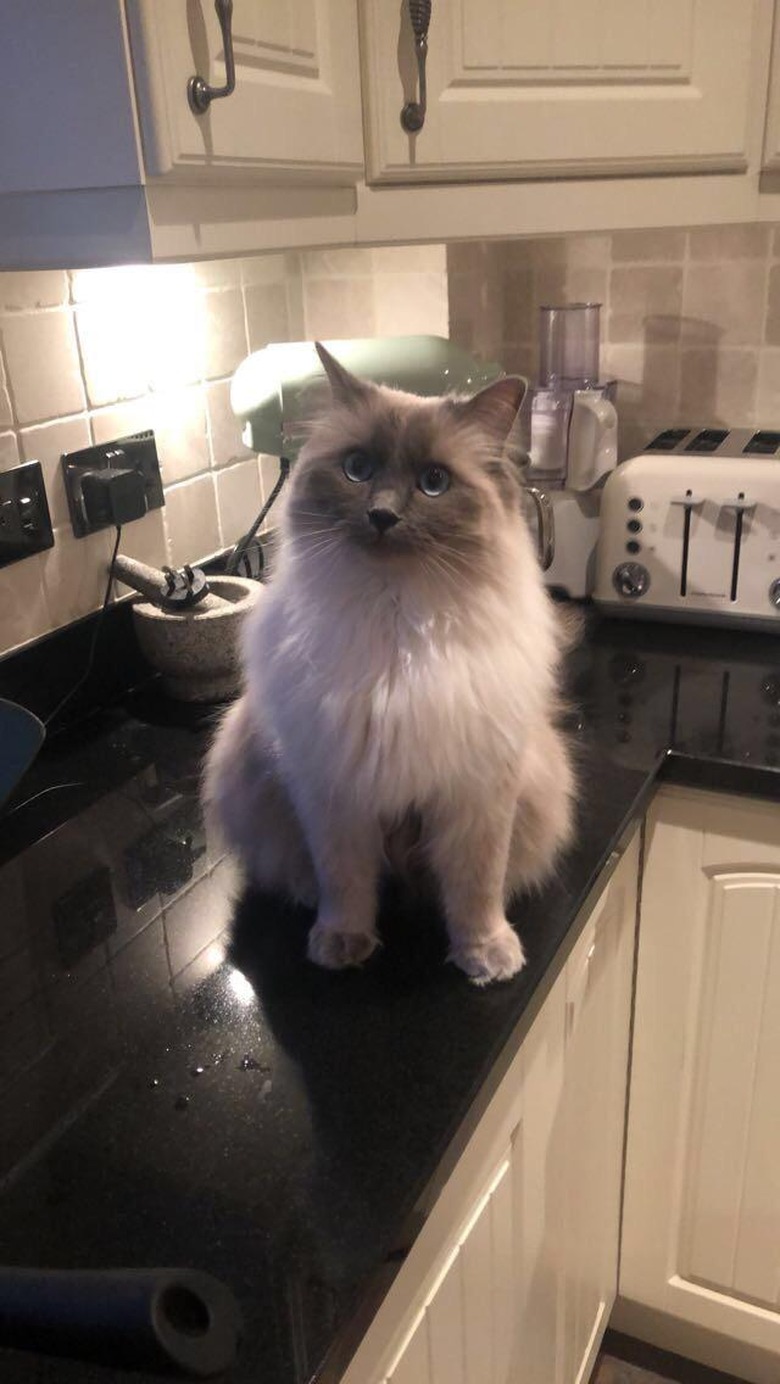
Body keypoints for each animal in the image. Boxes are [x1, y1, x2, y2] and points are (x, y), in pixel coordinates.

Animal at [204, 341, 575, 985]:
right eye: (357, 469)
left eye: (434, 482)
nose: (381, 516)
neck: (398, 619)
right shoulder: (336, 792)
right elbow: (347, 885)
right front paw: (342, 944)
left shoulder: (477, 795)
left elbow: (477, 890)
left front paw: (485, 956)